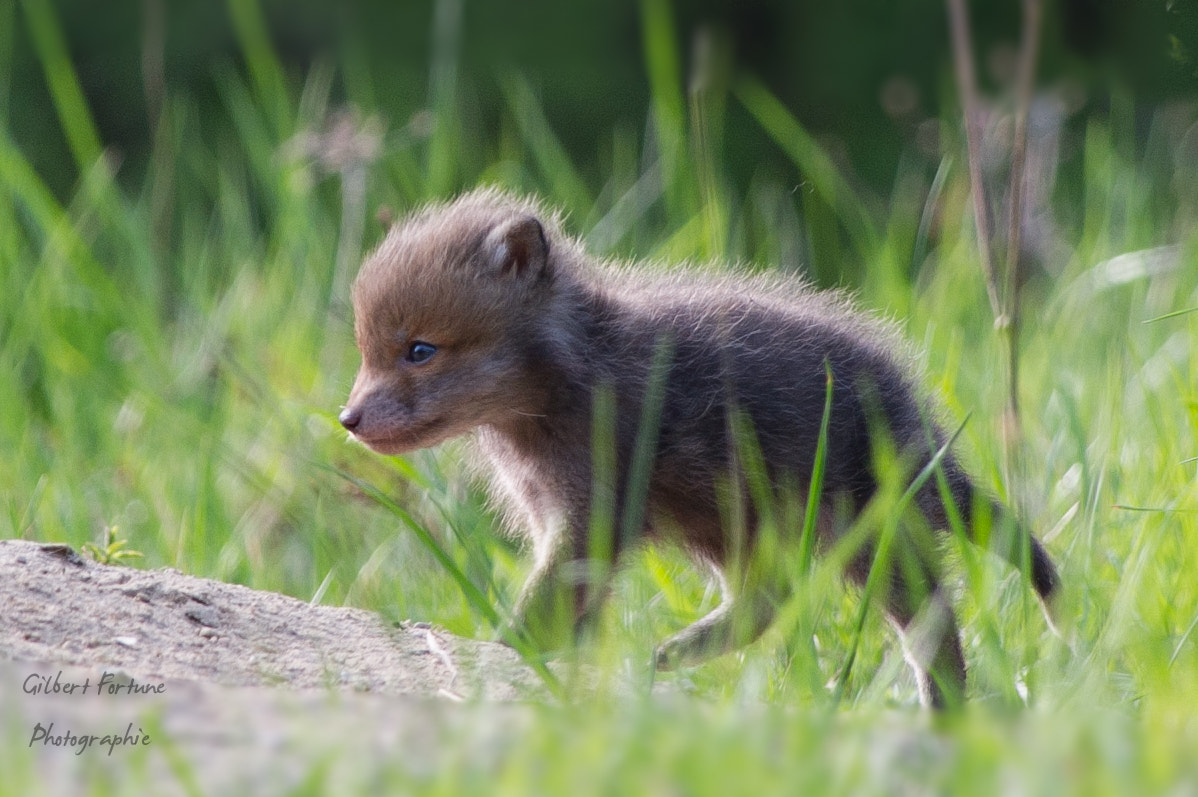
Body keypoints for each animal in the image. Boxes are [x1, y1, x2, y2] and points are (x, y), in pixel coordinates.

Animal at [338, 188, 1060, 707]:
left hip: (867, 530)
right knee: (769, 603)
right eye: (366, 351)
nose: (347, 419)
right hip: (737, 525)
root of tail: (910, 412)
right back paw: (675, 654)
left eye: (420, 350)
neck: (567, 378)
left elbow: (544, 607)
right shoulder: (563, 519)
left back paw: (946, 712)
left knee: (932, 623)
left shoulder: (590, 518)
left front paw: (505, 656)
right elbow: (571, 614)